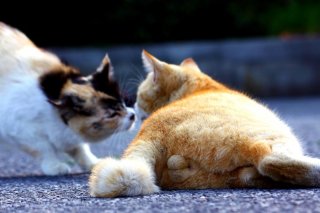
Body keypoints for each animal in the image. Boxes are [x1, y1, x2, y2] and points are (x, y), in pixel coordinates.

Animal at [0, 22, 135, 176]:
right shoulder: (20, 129)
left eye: (123, 102)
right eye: (111, 114)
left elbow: (80, 148)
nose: (133, 115)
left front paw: (93, 163)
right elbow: (45, 148)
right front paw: (54, 167)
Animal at [89, 50, 320, 197]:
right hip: (274, 137)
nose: (135, 107)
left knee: (251, 173)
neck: (203, 86)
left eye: (138, 96)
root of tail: (152, 132)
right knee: (271, 161)